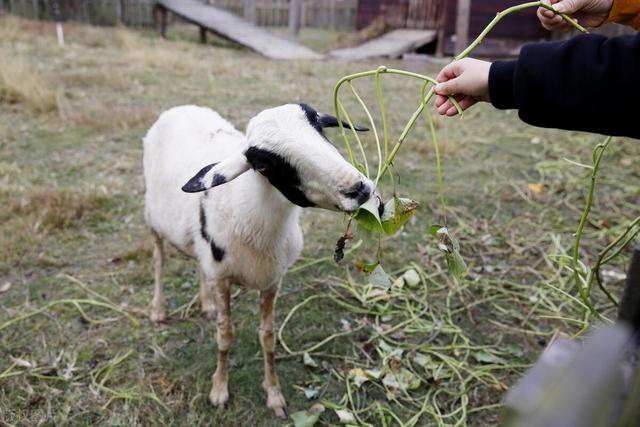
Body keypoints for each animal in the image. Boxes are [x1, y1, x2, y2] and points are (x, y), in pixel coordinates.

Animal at [142, 103, 372, 418]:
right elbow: (225, 336)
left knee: (198, 264)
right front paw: (219, 391)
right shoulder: (223, 279)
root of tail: (180, 108)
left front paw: (274, 395)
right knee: (158, 261)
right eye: (264, 164)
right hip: (153, 221)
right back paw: (158, 310)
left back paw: (206, 305)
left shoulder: (272, 279)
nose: (358, 189)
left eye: (319, 127)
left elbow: (268, 337)